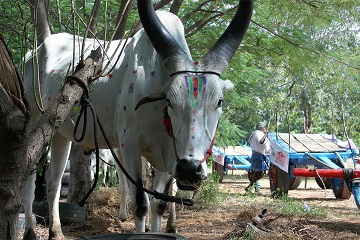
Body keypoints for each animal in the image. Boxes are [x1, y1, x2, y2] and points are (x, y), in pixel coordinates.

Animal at [23, 0, 253, 239]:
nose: (190, 169)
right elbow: (141, 204)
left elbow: (159, 204)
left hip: (60, 133)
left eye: (219, 101)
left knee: (53, 184)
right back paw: (30, 230)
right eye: (169, 100)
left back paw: (56, 231)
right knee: (28, 180)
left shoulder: (169, 158)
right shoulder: (131, 147)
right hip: (35, 125)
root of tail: (34, 52)